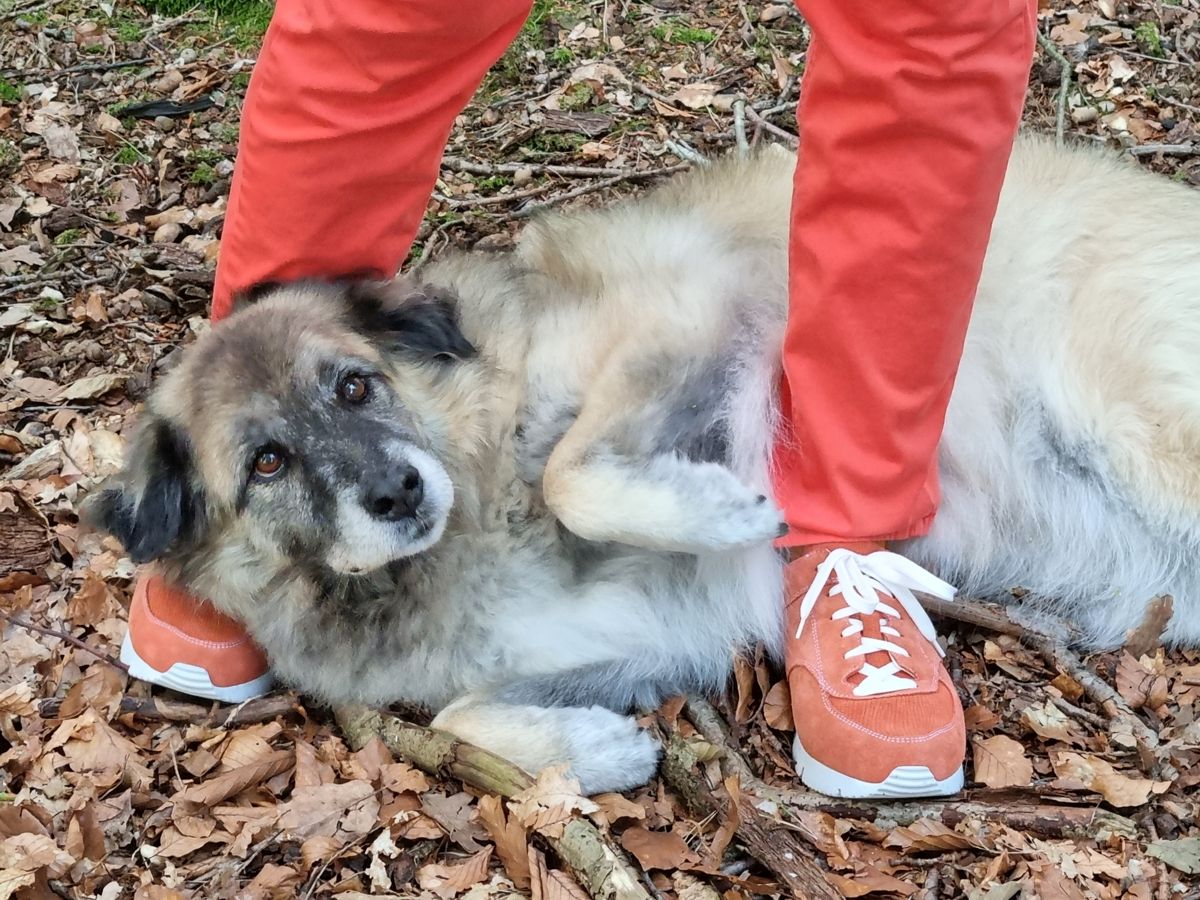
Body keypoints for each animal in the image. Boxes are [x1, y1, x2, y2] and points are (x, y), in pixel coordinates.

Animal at [88, 137, 1200, 792]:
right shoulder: (635, 638)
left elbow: (573, 474)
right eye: (267, 463)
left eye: (354, 387)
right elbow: (460, 717)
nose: (398, 492)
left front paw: (719, 509)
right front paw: (589, 752)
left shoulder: (689, 306)